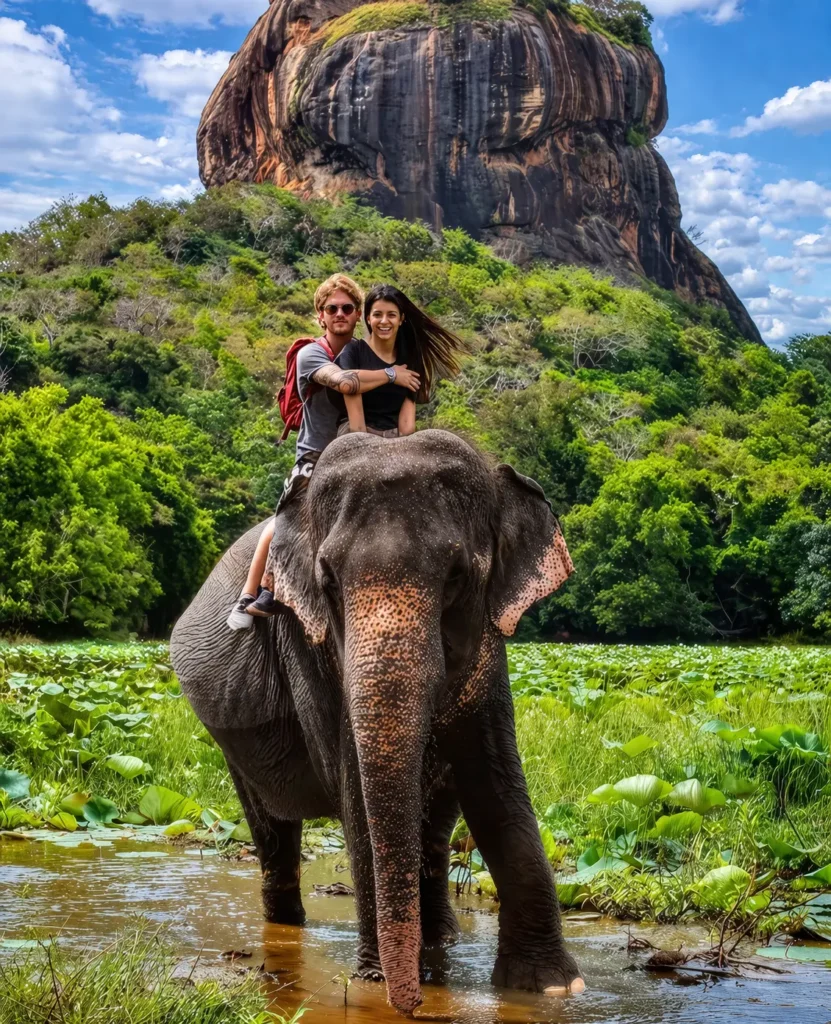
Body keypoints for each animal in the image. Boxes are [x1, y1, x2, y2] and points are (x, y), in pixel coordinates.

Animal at [170, 429, 584, 1013]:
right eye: (327, 581)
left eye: (458, 576)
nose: (410, 1005)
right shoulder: (309, 646)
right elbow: (355, 794)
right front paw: (374, 982)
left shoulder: (489, 644)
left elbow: (495, 783)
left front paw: (551, 988)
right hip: (228, 737)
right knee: (272, 828)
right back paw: (290, 928)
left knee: (435, 823)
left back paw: (440, 941)